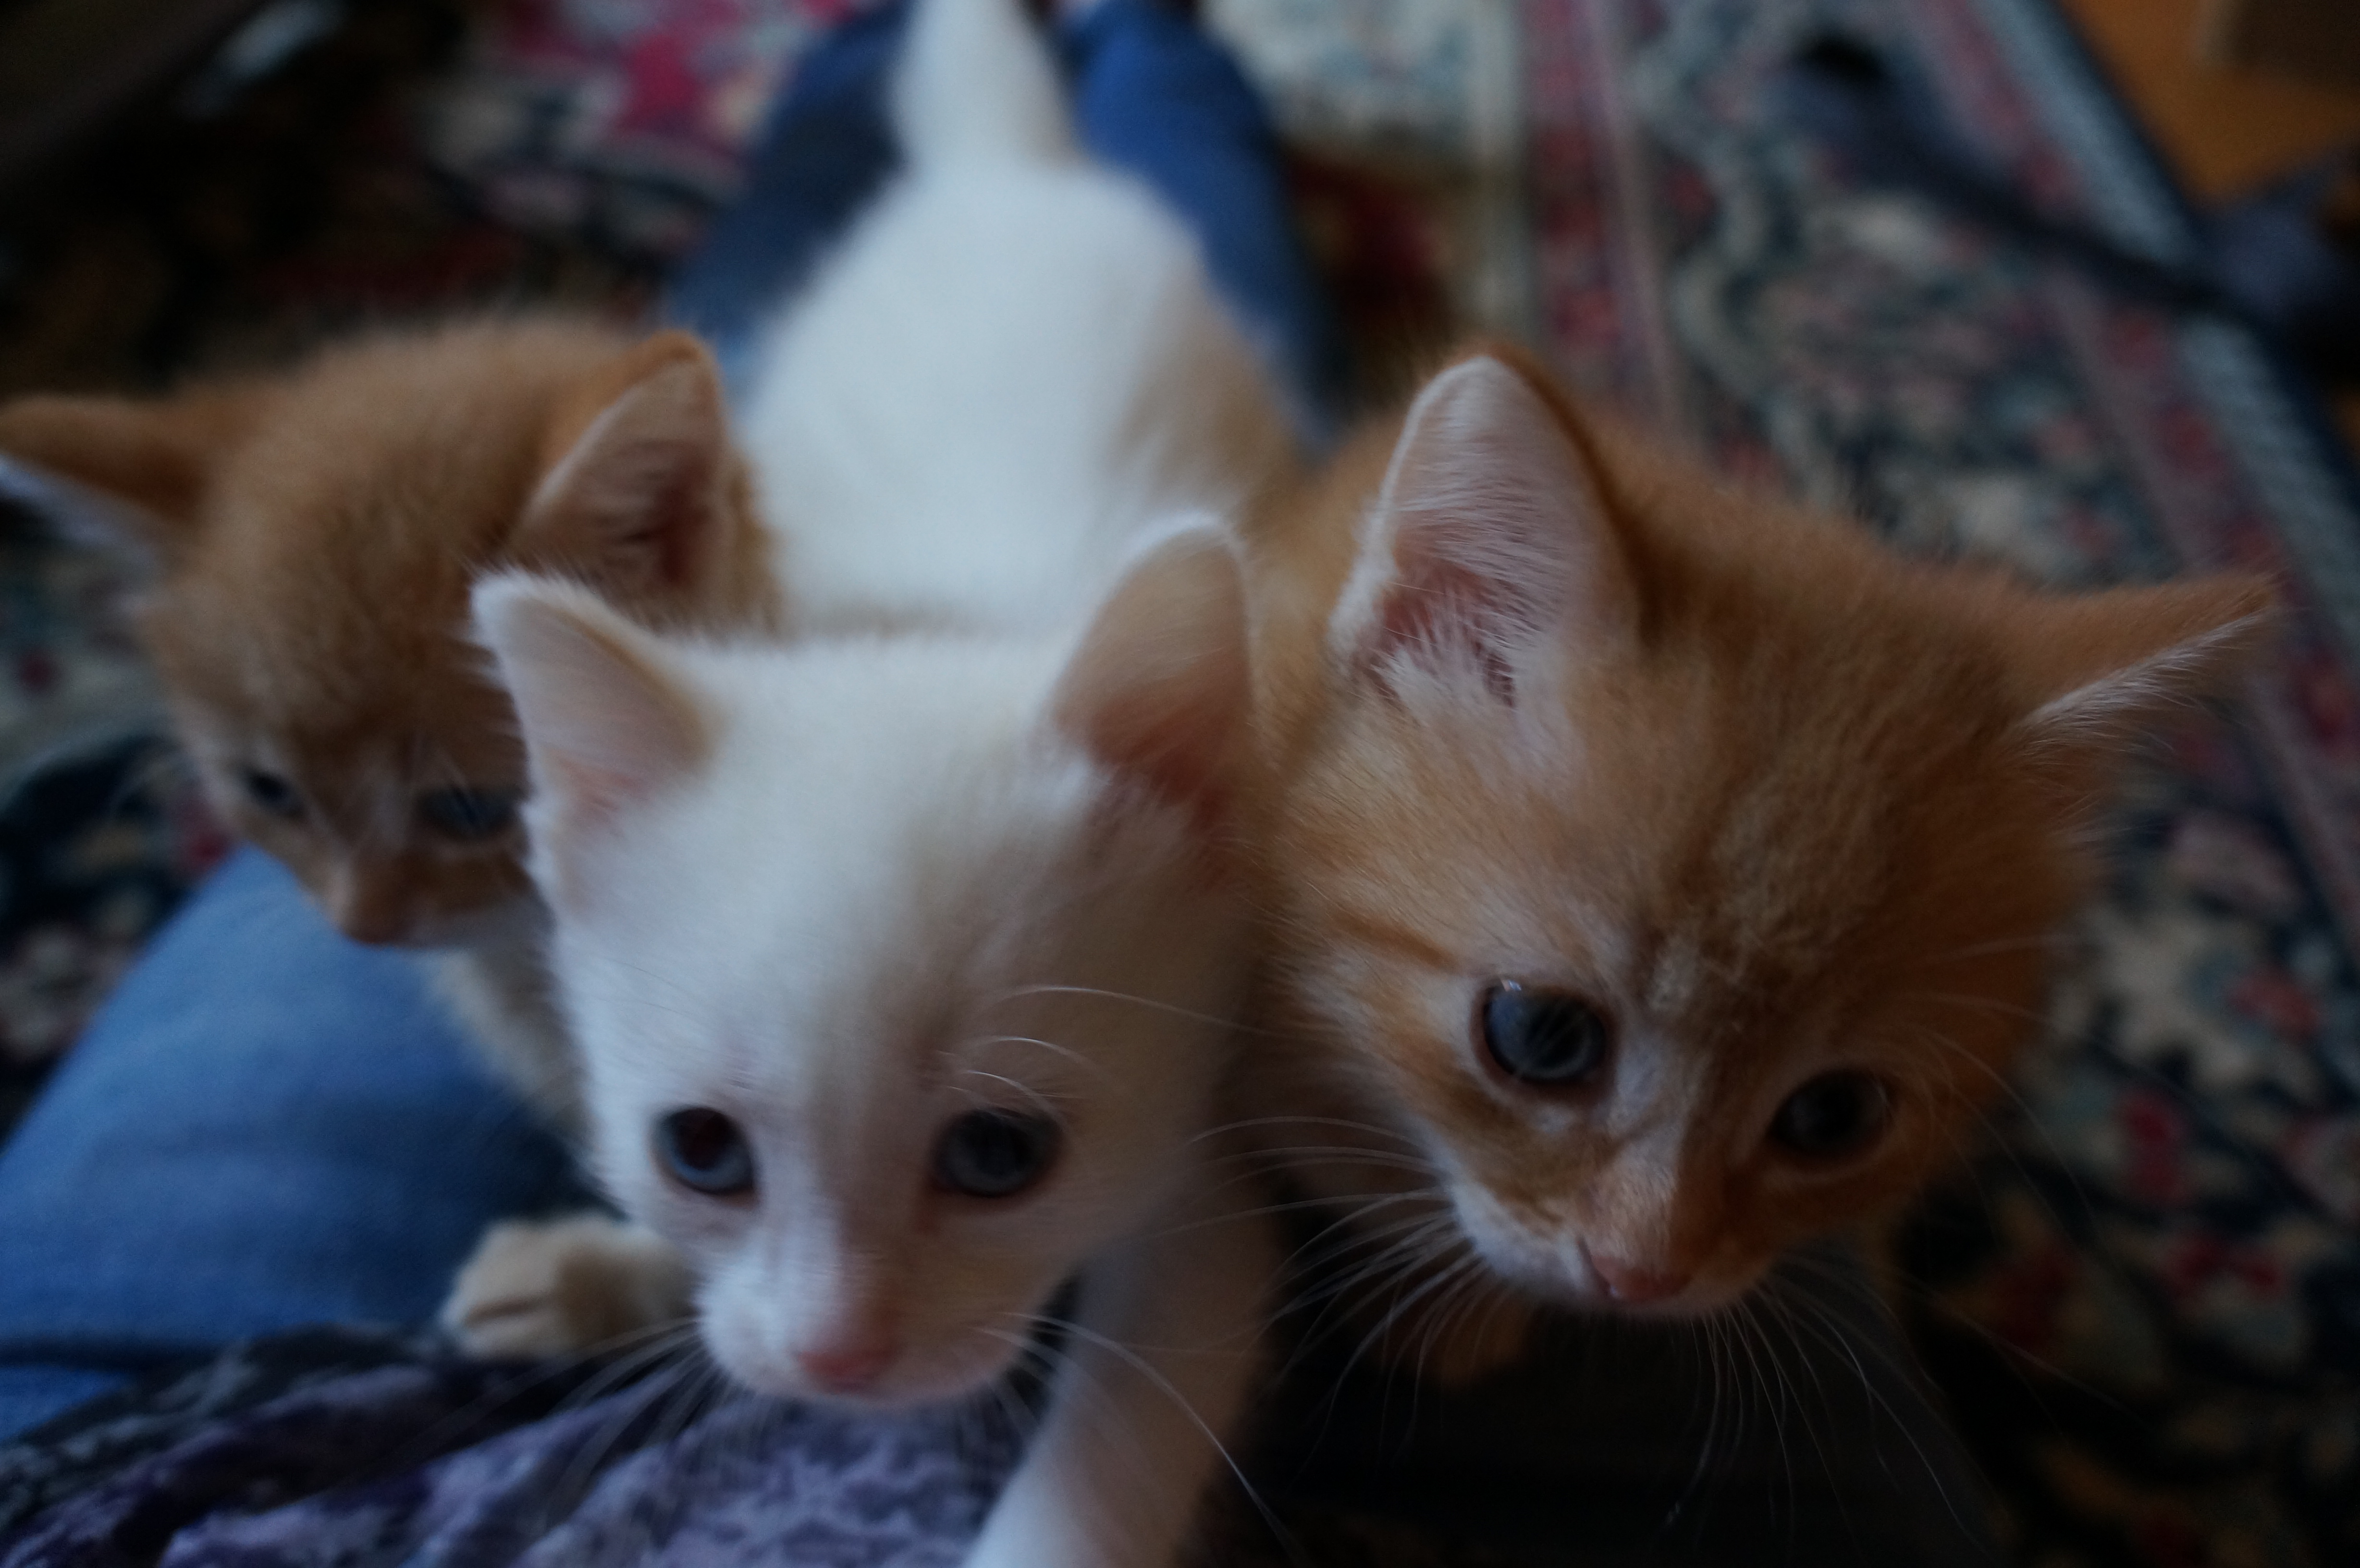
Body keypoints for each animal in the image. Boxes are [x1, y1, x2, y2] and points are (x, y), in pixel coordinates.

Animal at [458, 1, 1296, 1561]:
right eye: (699, 1148)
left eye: (997, 1152)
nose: (835, 1354)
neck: (944, 620)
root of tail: (998, 174)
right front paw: (599, 1271)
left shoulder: (1206, 1164)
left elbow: (1124, 1423)